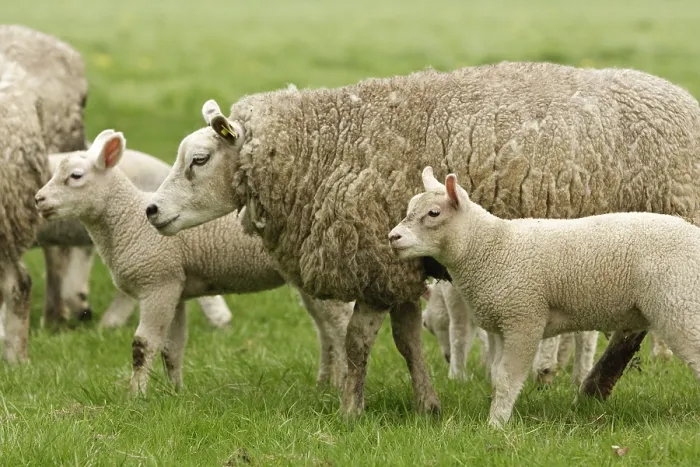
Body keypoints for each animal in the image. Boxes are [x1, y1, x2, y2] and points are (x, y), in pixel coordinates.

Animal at [34, 130, 353, 392]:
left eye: (75, 176)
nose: (38, 199)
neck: (127, 219)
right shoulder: (175, 286)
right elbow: (171, 348)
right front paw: (175, 393)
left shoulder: (157, 283)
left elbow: (142, 346)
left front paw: (135, 396)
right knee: (325, 330)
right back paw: (325, 383)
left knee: (338, 327)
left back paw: (338, 386)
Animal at [422, 280, 598, 385]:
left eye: (425, 324)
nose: (447, 357)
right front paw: (490, 370)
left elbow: (459, 330)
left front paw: (457, 376)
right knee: (587, 334)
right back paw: (580, 377)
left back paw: (544, 367)